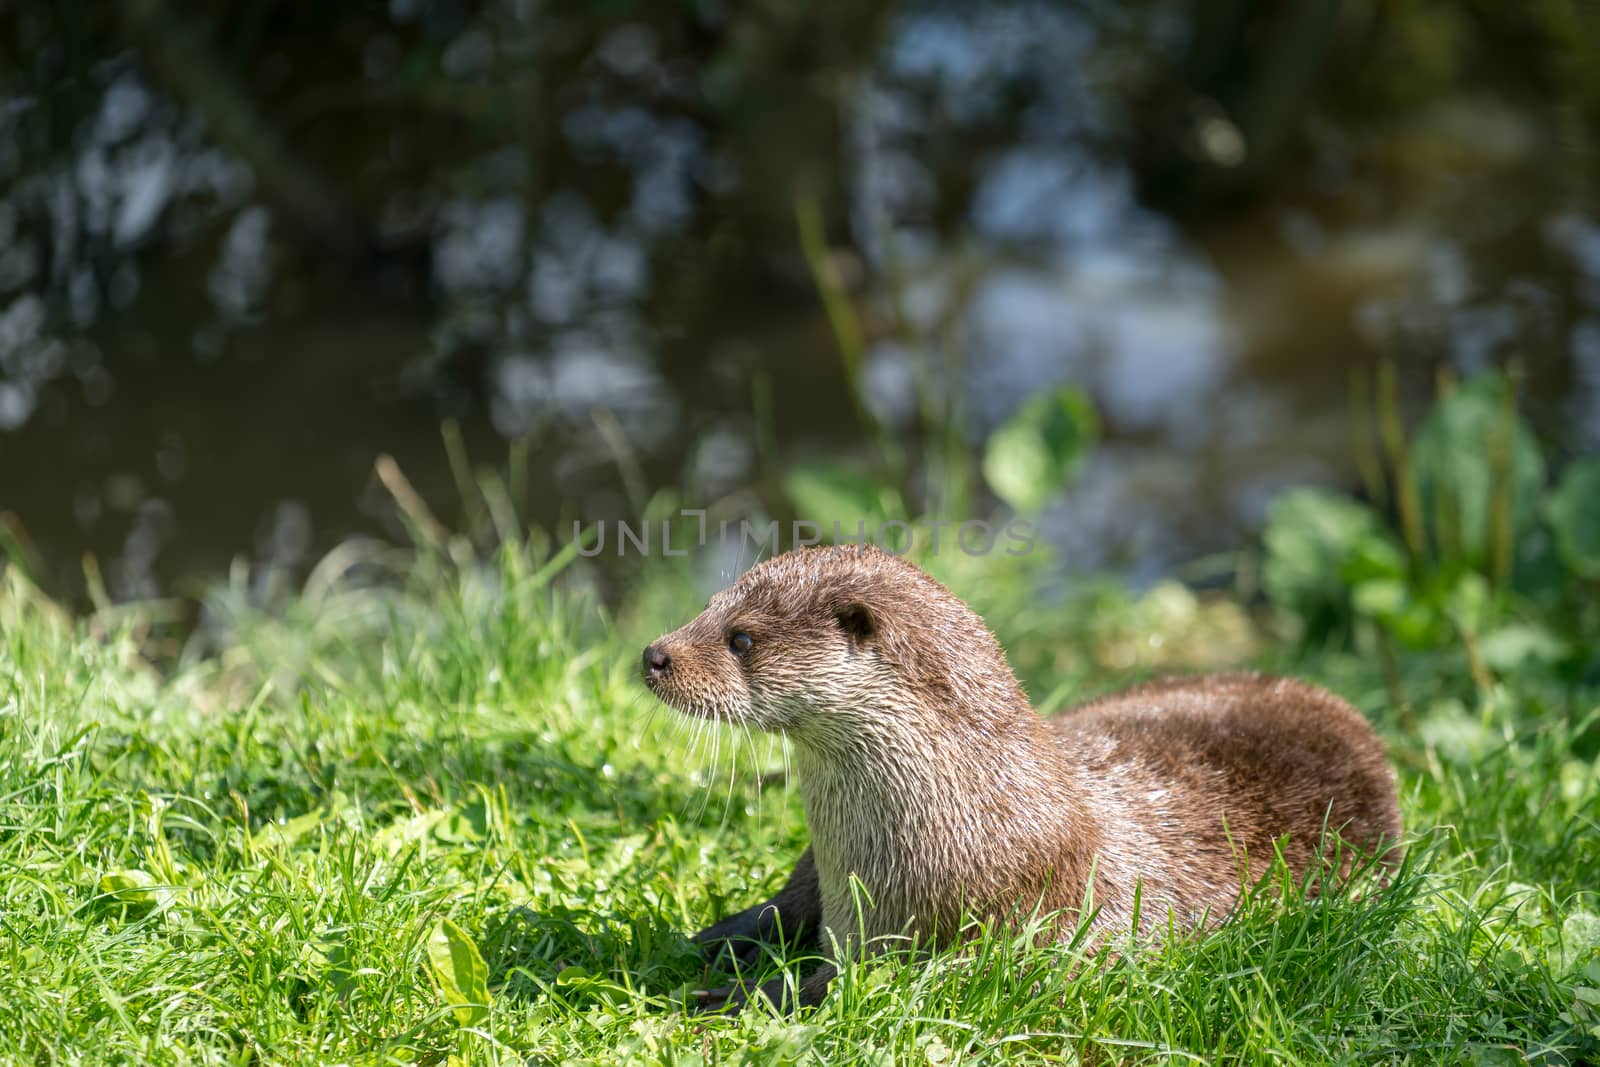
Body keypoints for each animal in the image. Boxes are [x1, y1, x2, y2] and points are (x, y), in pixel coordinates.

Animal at [636, 547, 1401, 1017]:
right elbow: (800, 909)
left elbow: (876, 981)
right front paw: (721, 949)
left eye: (741, 638)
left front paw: (751, 994)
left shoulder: (1014, 930)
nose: (653, 653)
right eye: (708, 604)